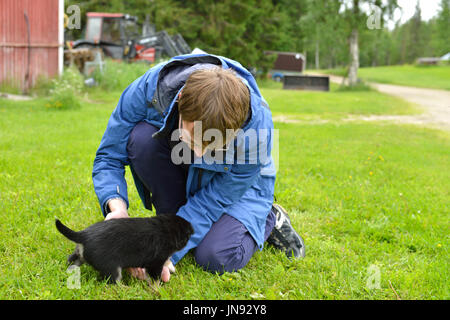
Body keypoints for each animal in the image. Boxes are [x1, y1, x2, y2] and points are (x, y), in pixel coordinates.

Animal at [55, 215, 193, 282]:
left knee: (72, 261)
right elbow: (156, 278)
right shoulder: (156, 263)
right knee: (113, 282)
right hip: (112, 268)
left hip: (80, 255)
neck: (165, 229)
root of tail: (83, 235)